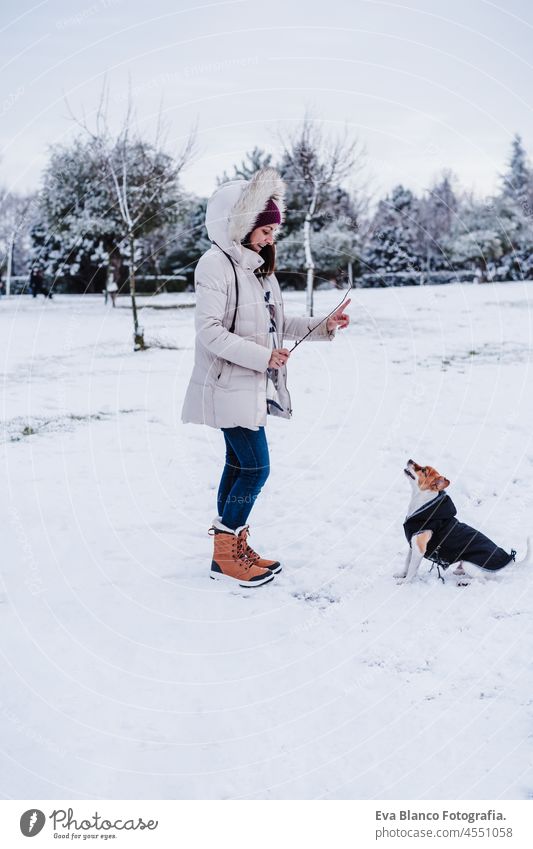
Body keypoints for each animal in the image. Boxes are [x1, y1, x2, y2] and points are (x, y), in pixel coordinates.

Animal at [392, 458, 524, 584]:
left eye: (424, 470)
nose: (410, 460)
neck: (421, 503)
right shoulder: (412, 546)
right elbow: (407, 563)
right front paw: (402, 575)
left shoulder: (419, 550)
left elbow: (412, 569)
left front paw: (405, 582)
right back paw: (459, 572)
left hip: (468, 563)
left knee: (481, 580)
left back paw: (464, 581)